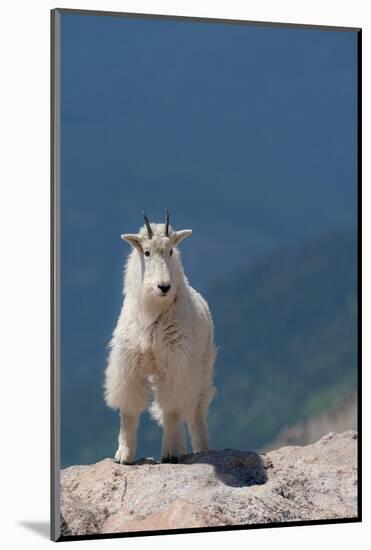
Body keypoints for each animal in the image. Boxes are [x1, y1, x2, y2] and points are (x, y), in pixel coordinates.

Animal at [104, 211, 218, 466]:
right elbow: (129, 410)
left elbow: (173, 409)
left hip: (202, 367)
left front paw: (171, 453)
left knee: (195, 410)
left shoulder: (176, 364)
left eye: (171, 251)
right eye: (146, 252)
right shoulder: (129, 364)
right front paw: (124, 455)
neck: (152, 313)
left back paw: (201, 448)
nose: (164, 286)